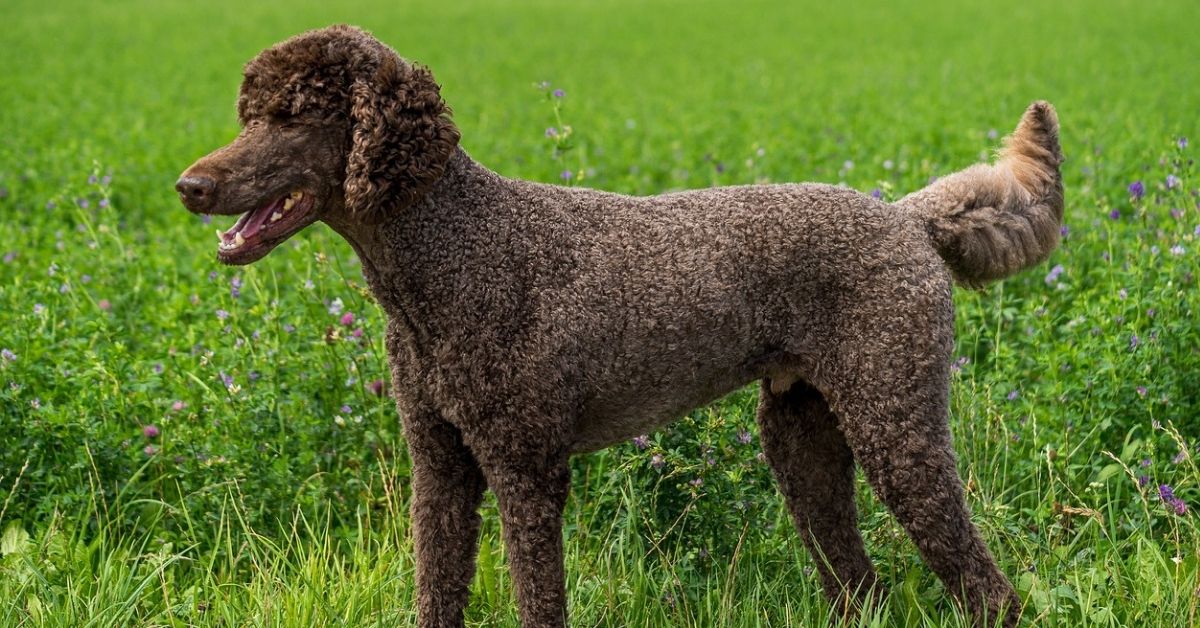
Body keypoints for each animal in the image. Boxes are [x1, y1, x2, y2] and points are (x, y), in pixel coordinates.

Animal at [175, 24, 1060, 628]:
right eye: (249, 114)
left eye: (293, 116)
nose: (189, 186)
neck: (453, 251)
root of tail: (908, 219)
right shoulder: (440, 463)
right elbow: (437, 586)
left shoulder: (525, 465)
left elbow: (538, 598)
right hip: (802, 432)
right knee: (857, 578)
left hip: (895, 417)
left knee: (983, 584)